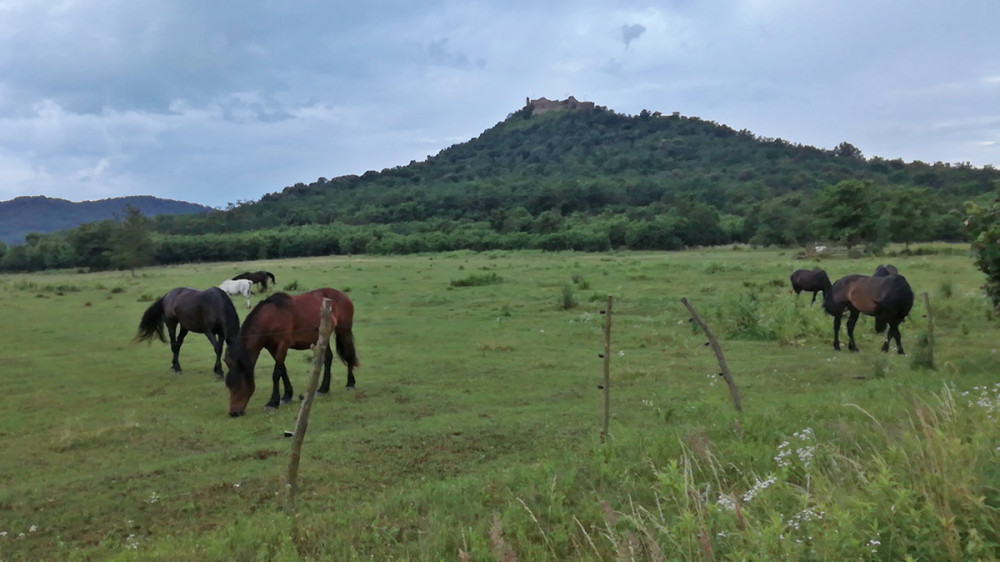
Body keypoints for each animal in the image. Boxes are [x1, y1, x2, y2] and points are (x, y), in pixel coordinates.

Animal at [224, 286, 360, 414]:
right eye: (229, 386)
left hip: (344, 331)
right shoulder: (272, 348)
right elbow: (283, 370)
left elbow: (276, 373)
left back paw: (350, 384)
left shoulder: (283, 345)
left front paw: (272, 402)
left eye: (239, 385)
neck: (270, 317)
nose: (234, 413)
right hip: (323, 337)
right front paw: (286, 396)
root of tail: (343, 295)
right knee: (328, 358)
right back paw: (323, 389)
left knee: (348, 355)